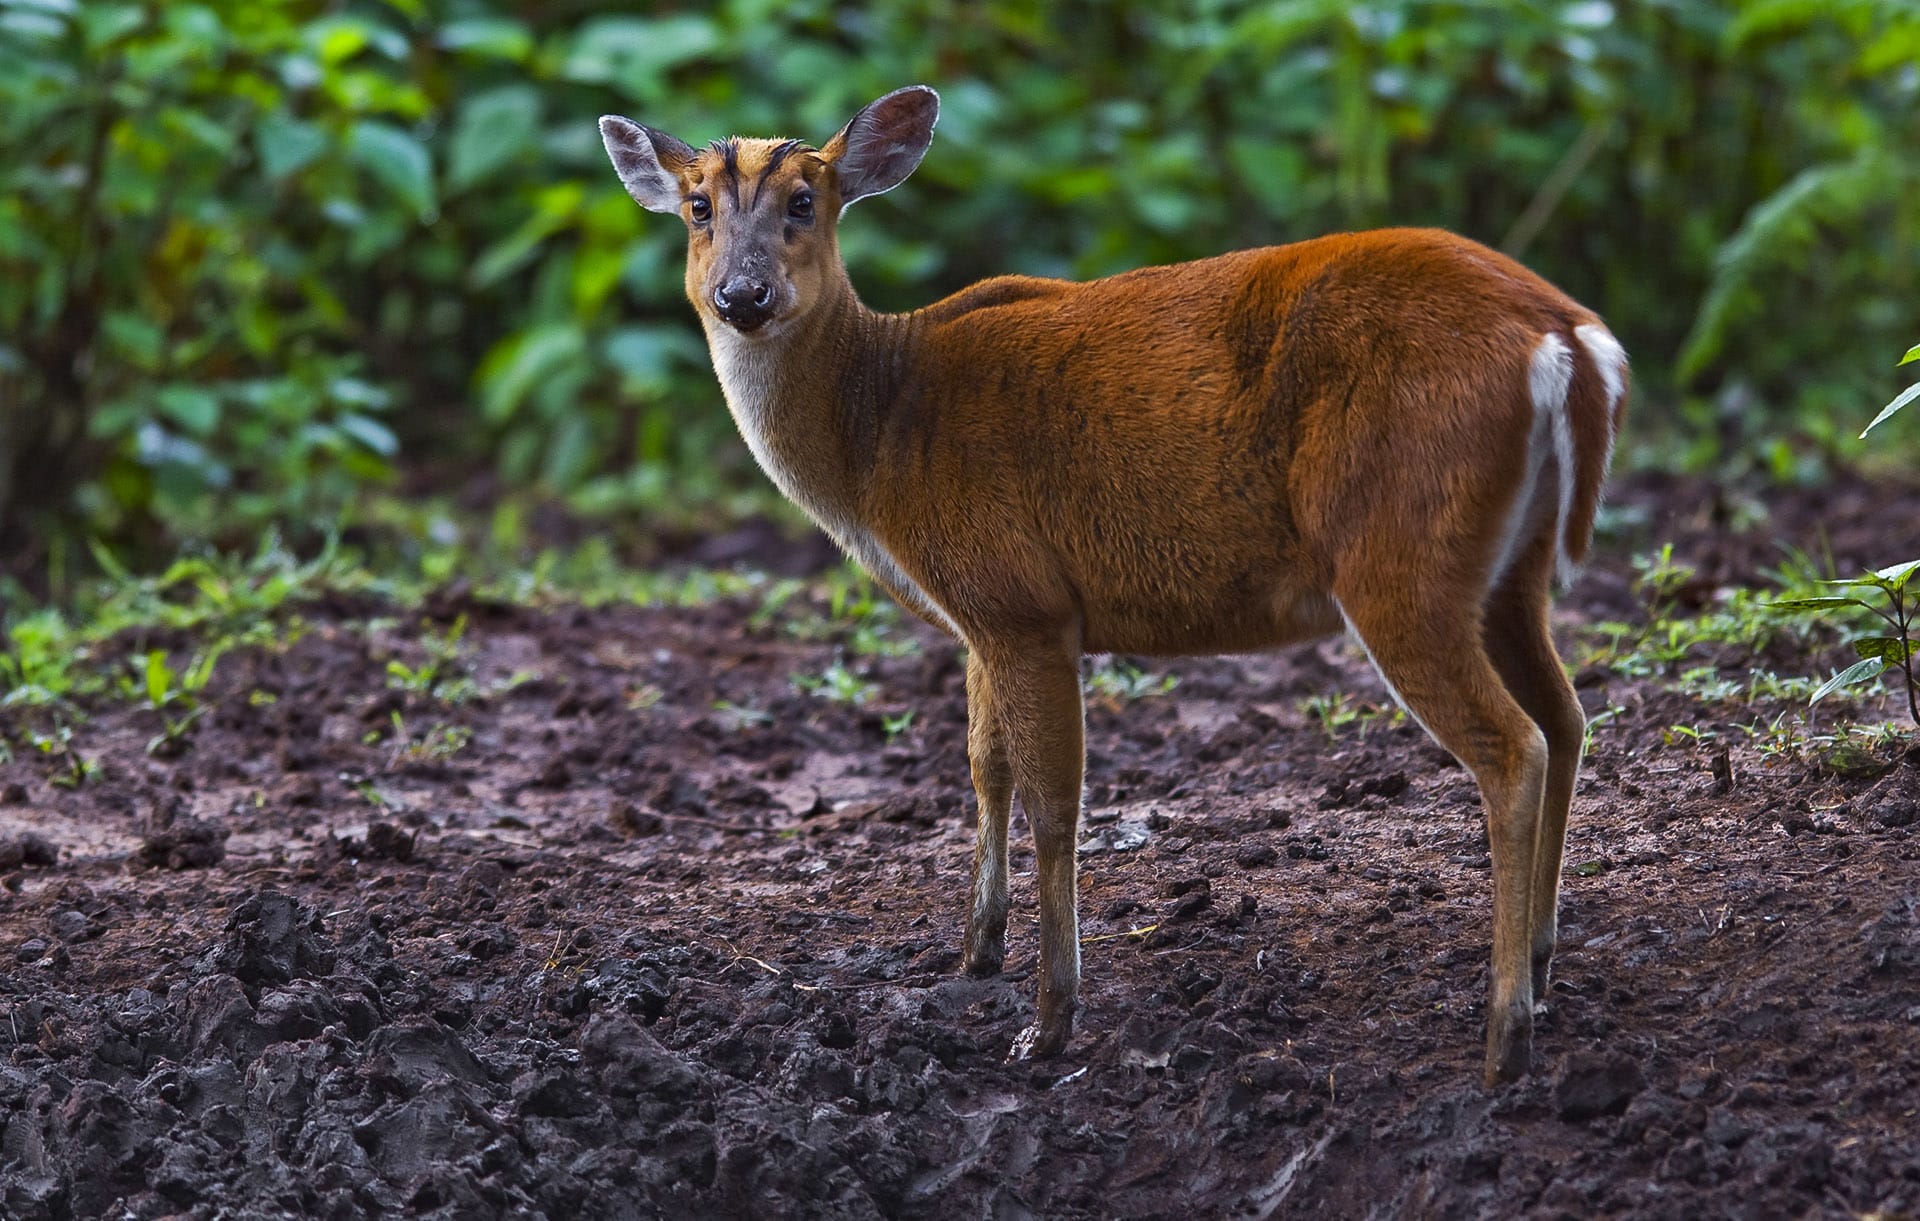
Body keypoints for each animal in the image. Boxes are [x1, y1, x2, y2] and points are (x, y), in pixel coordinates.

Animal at [598, 86, 1627, 1087]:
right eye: (697, 207)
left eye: (805, 202)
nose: (743, 294)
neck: (880, 435)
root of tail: (1570, 338)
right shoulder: (984, 614)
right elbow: (985, 764)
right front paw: (973, 954)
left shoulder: (1020, 598)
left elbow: (1056, 802)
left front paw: (1049, 1023)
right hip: (1508, 566)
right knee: (1567, 715)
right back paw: (1541, 966)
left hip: (1397, 553)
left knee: (1513, 746)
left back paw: (1503, 1038)